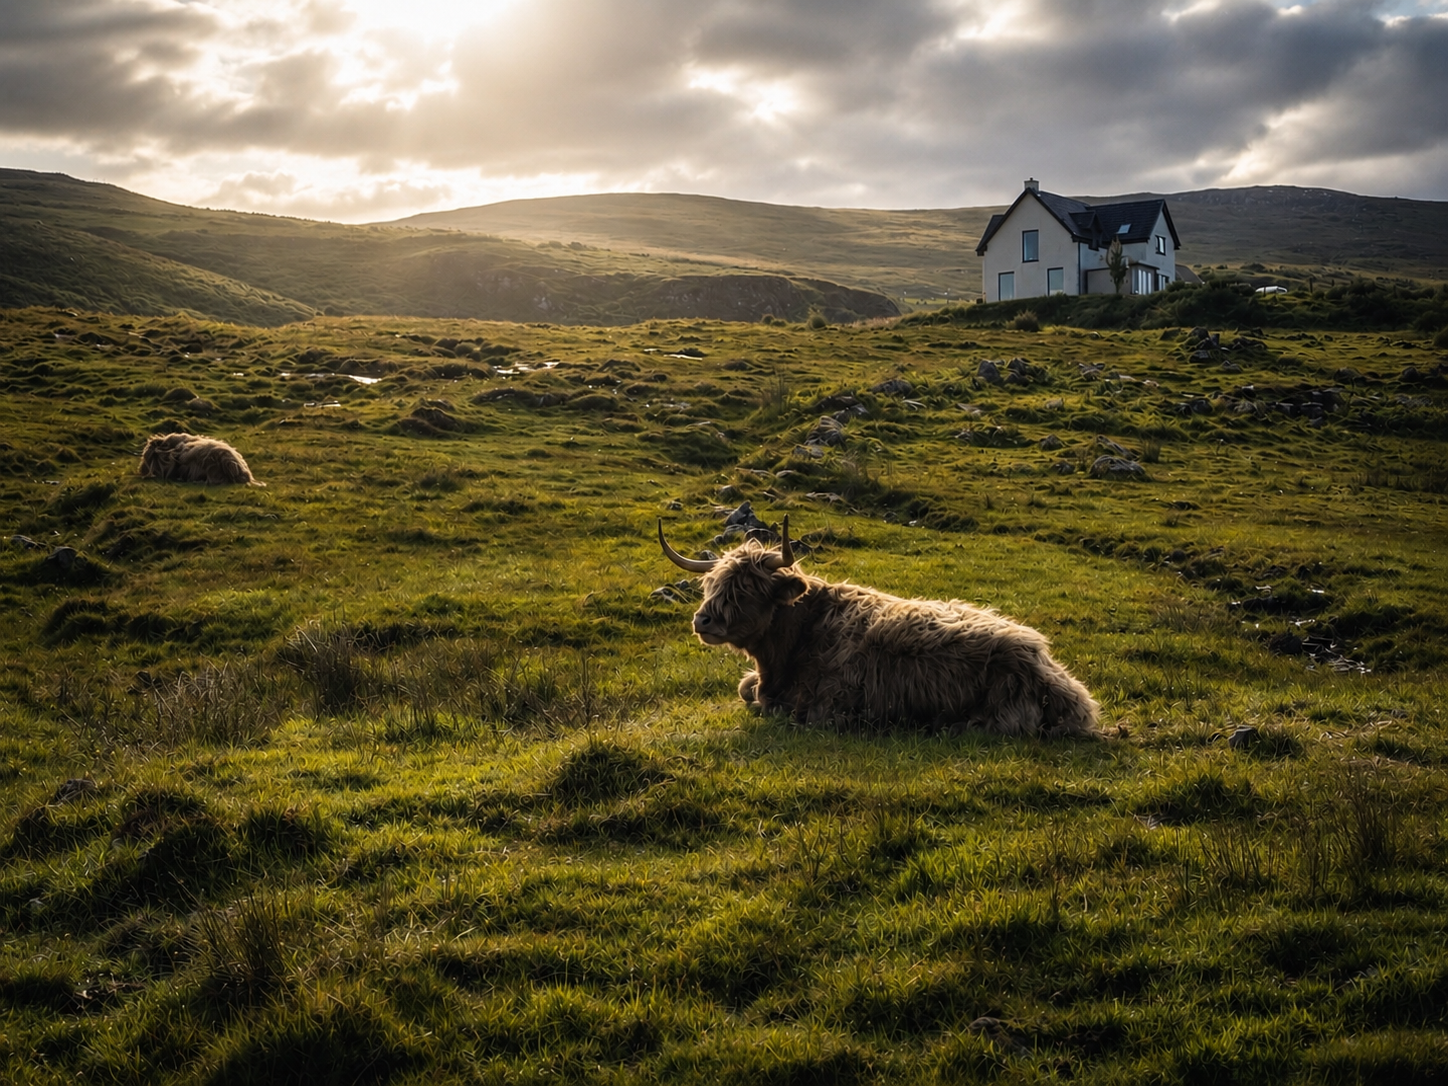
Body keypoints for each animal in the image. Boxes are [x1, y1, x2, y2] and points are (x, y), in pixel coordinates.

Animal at [659, 517, 1099, 737]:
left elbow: (763, 701)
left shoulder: (824, 704)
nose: (702, 620)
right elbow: (745, 687)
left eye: (746, 589)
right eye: (711, 585)